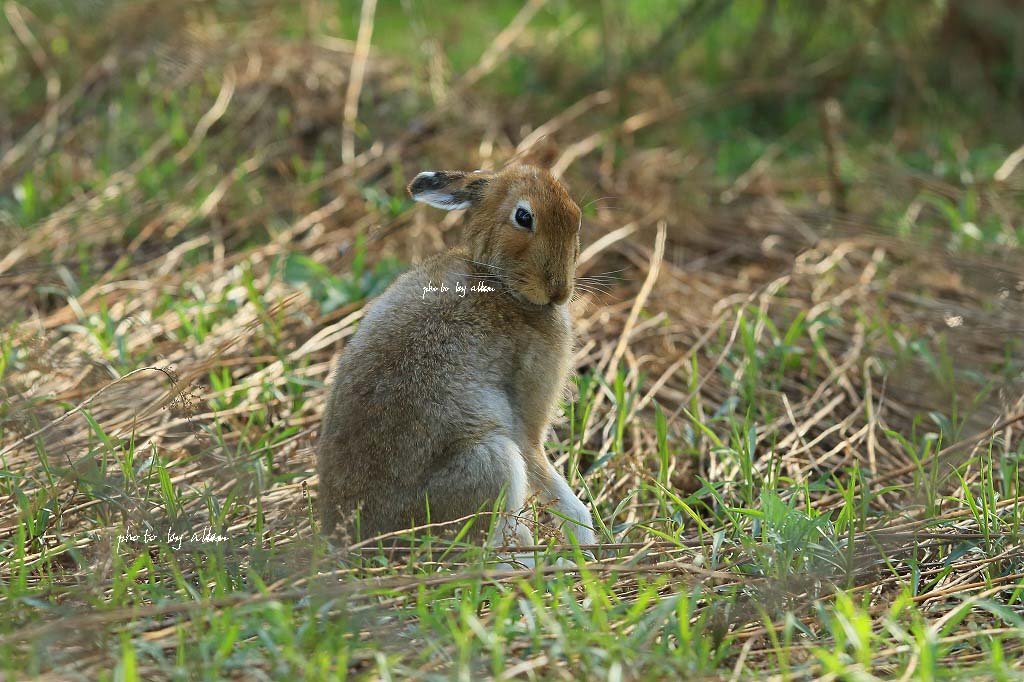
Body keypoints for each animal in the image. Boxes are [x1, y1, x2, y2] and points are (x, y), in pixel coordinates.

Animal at [315, 161, 598, 548]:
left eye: (576, 216)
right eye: (524, 217)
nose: (559, 291)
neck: (500, 282)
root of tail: (362, 543)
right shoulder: (525, 413)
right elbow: (543, 469)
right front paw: (584, 534)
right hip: (490, 460)